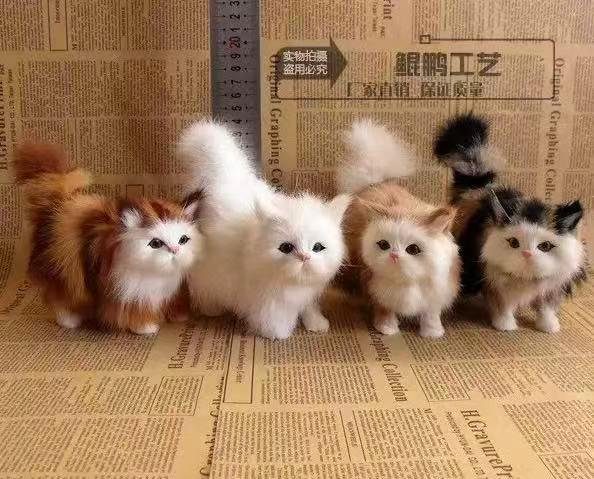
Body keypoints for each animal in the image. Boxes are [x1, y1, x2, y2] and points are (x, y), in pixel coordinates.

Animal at [14, 143, 201, 334]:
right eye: (156, 243)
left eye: (183, 240)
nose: (175, 250)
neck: (156, 275)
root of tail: (59, 205)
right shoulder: (126, 295)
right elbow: (134, 314)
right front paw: (146, 328)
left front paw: (178, 316)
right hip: (63, 273)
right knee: (60, 301)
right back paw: (70, 321)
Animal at [178, 120, 350, 340]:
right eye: (286, 248)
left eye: (318, 247)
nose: (304, 257)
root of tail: (222, 179)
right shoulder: (268, 301)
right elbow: (272, 318)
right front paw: (278, 334)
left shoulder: (307, 295)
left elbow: (309, 308)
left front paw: (317, 324)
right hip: (209, 275)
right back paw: (212, 310)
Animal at [336, 119, 460, 338]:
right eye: (383, 245)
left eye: (413, 249)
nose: (394, 255)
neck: (406, 282)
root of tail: (376, 183)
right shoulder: (378, 291)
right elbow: (385, 311)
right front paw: (387, 329)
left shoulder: (436, 294)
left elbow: (431, 315)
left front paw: (433, 334)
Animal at [434, 113, 587, 333]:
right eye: (513, 242)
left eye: (545, 246)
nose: (527, 254)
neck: (527, 279)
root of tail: (479, 187)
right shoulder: (496, 287)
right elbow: (503, 308)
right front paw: (505, 327)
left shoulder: (552, 290)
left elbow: (546, 310)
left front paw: (549, 328)